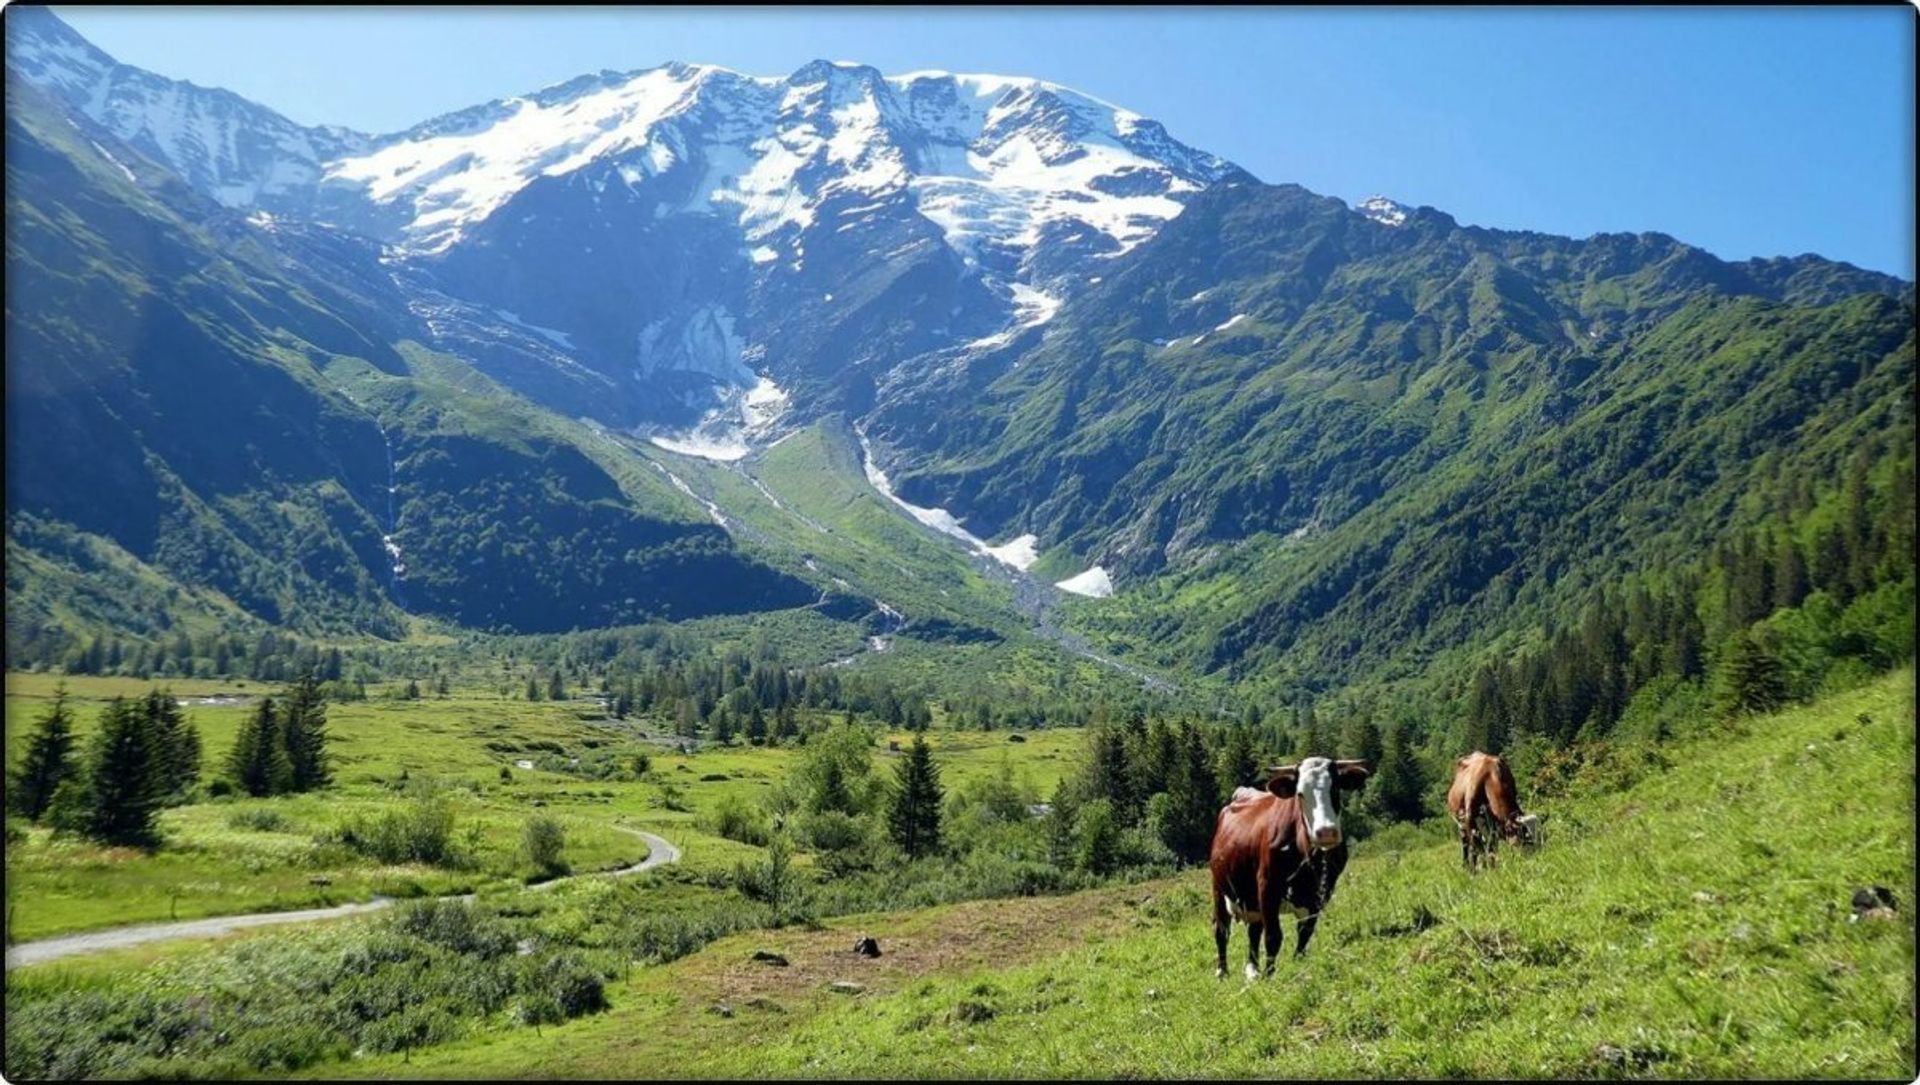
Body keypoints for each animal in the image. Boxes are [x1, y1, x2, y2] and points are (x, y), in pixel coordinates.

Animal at [1205, 752, 1374, 983]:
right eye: (1300, 794)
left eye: (1336, 789)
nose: (1326, 832)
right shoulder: (1267, 886)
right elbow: (1273, 936)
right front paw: (1270, 975)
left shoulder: (1321, 893)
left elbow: (1305, 932)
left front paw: (1298, 962)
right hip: (1219, 887)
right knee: (1221, 929)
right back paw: (1222, 971)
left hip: (1250, 897)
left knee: (1254, 929)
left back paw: (1252, 969)